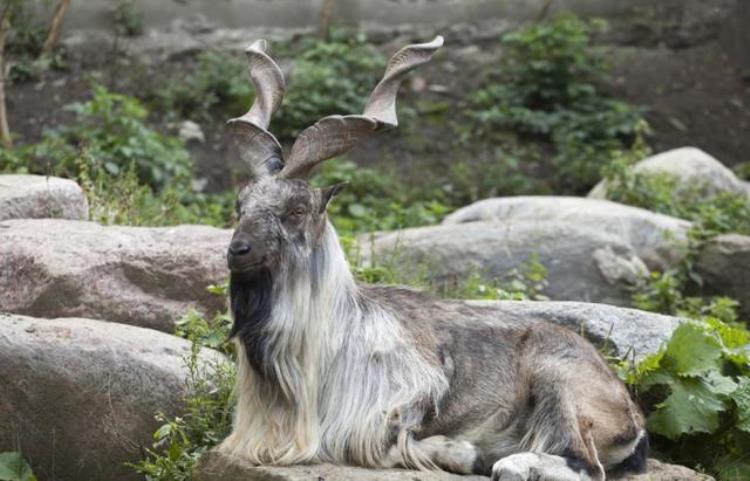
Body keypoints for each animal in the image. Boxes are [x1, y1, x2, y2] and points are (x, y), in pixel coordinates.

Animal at [217, 38, 648, 480]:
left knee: (586, 465)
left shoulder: (397, 404)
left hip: (560, 380)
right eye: (240, 204)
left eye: (297, 210)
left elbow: (385, 445)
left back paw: (508, 462)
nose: (238, 251)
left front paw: (464, 453)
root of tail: (629, 412)